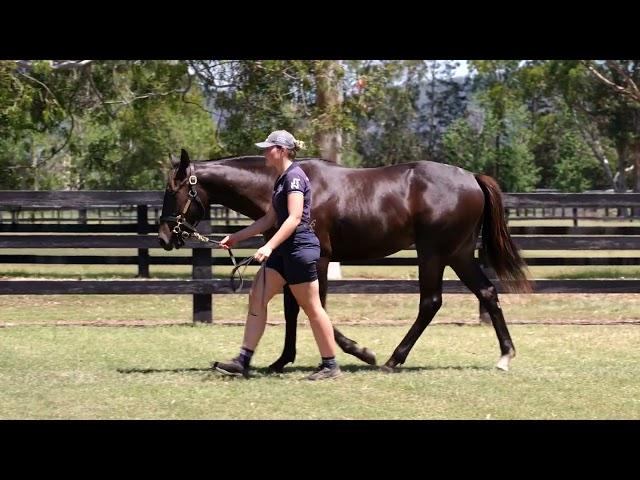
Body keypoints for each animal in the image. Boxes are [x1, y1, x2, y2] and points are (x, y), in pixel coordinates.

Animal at [159, 149, 528, 372]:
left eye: (172, 191)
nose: (164, 237)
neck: (281, 189)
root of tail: (472, 178)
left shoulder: (318, 260)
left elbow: (315, 307)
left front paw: (360, 352)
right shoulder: (288, 259)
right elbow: (293, 309)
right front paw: (282, 360)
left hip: (433, 253)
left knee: (431, 302)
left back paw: (392, 359)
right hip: (459, 253)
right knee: (487, 293)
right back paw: (505, 355)